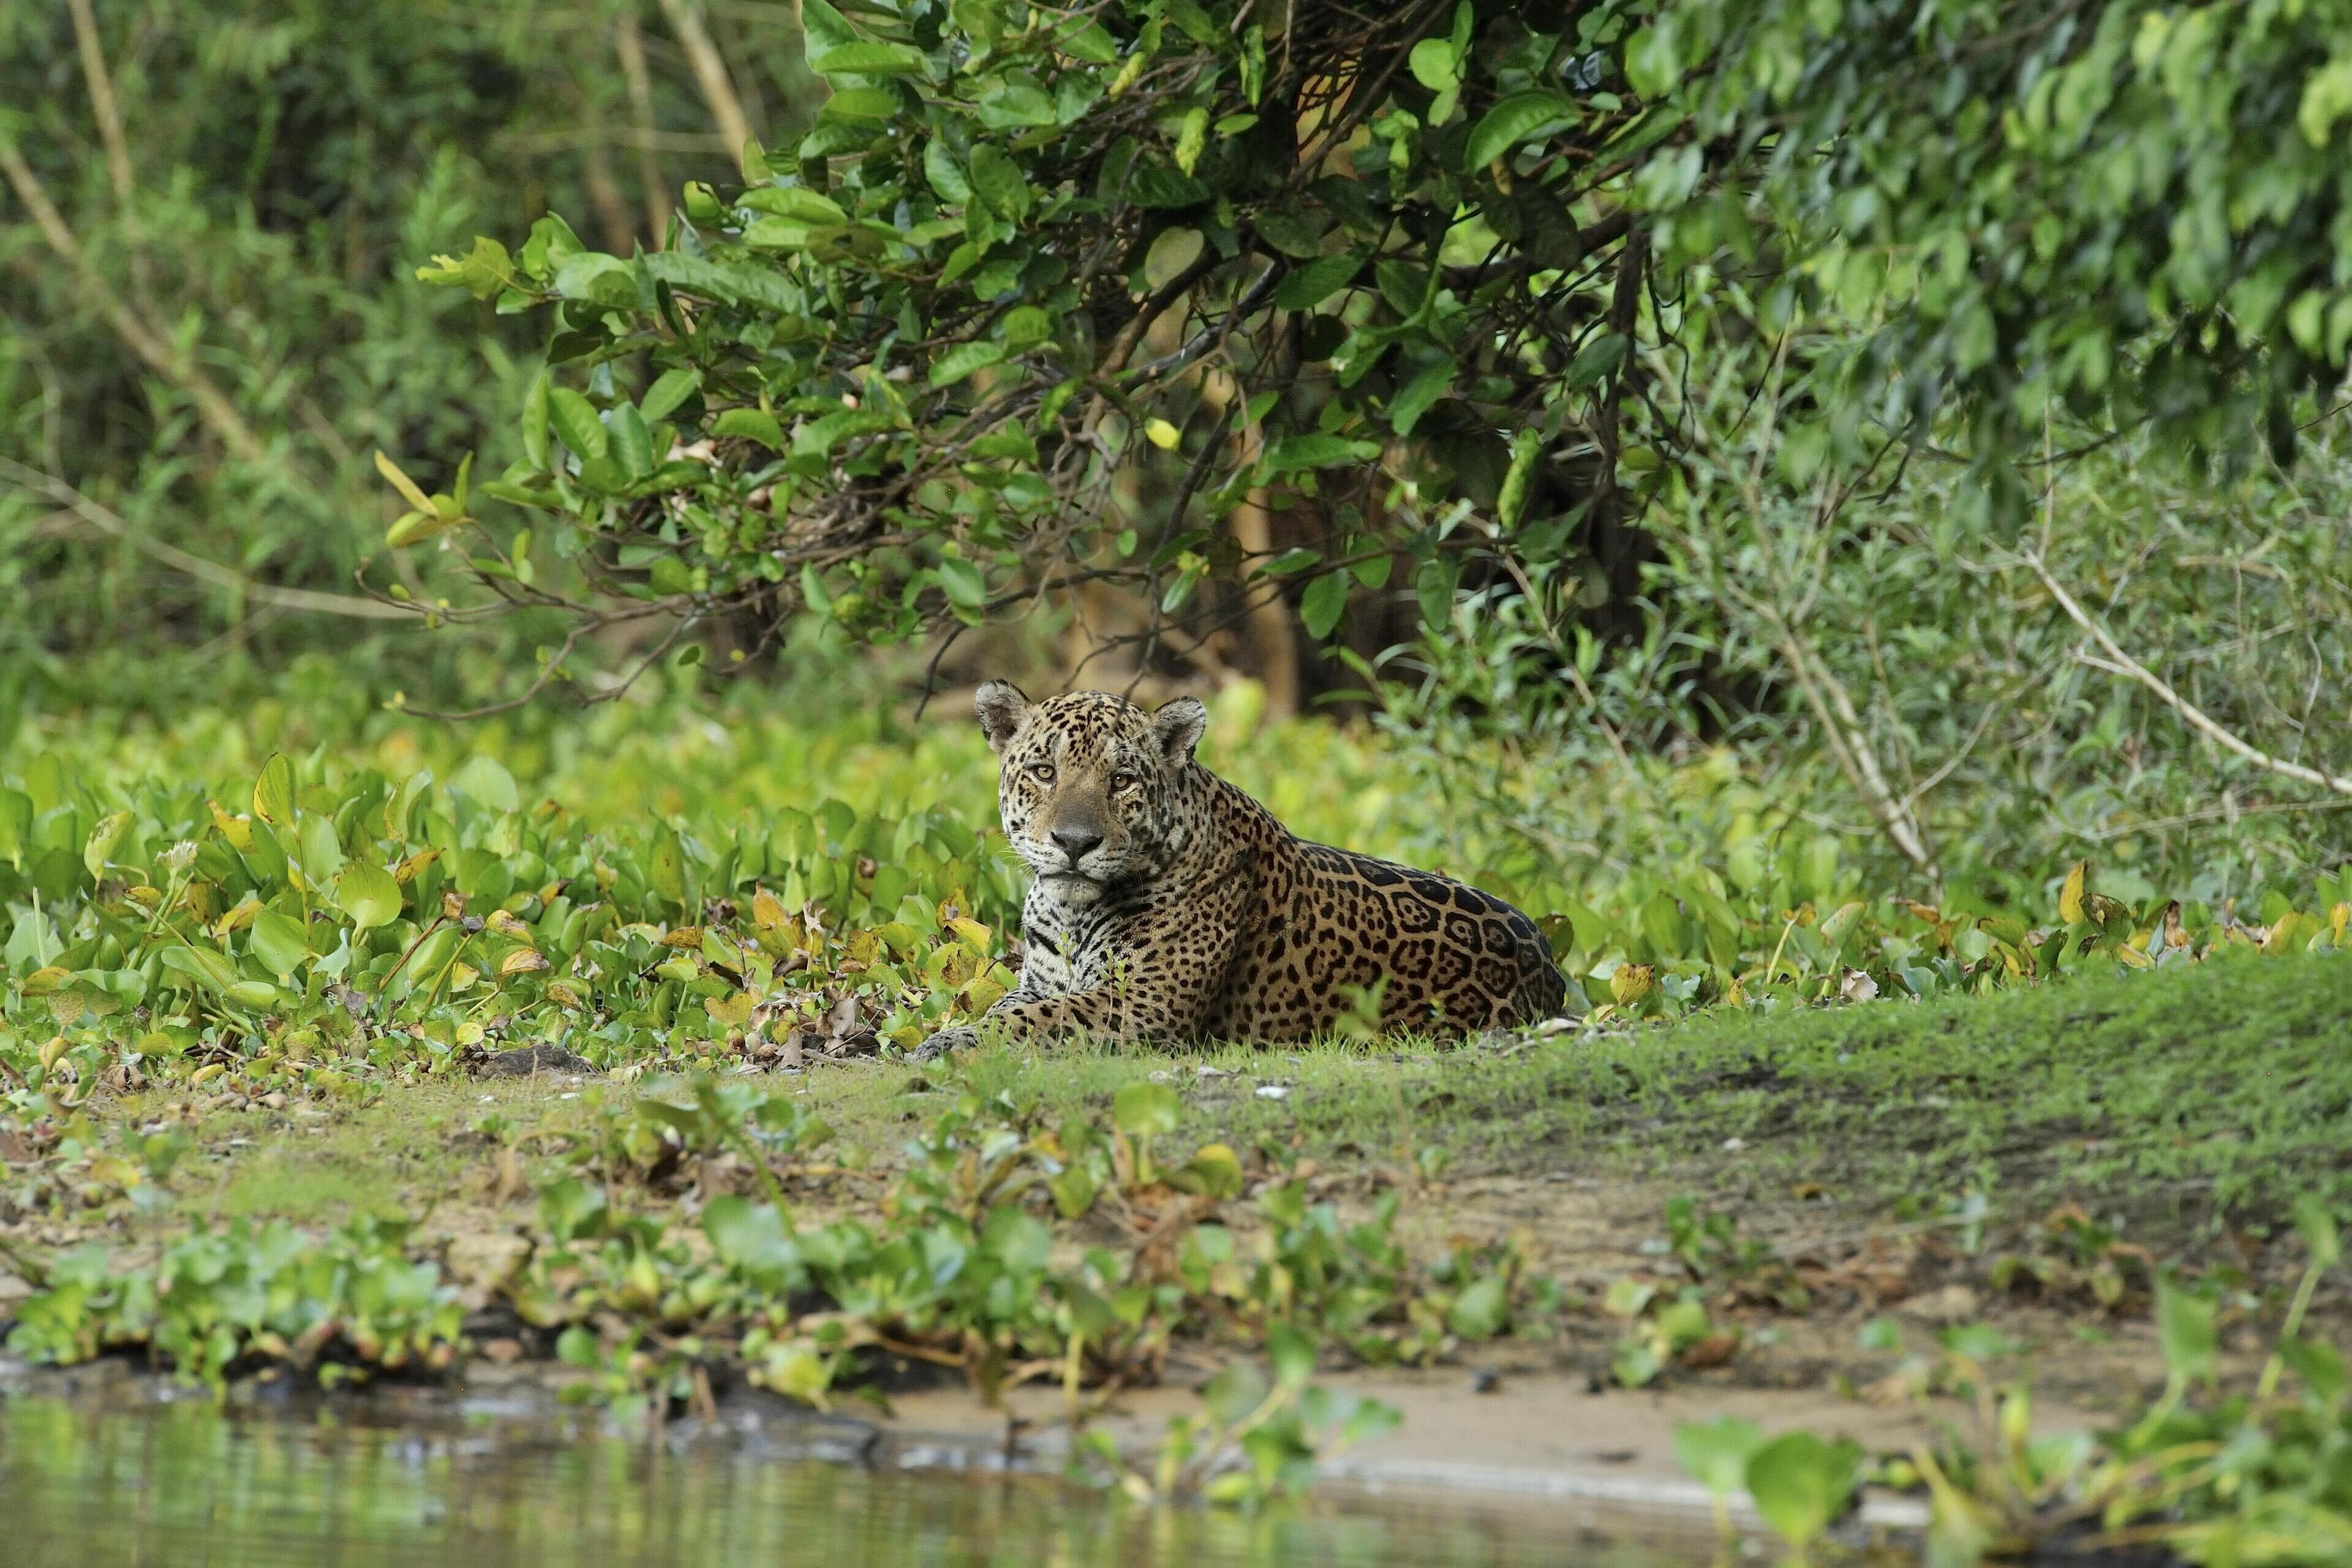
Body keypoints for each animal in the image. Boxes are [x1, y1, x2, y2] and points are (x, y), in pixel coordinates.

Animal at [913, 681, 1568, 1059]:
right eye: (1044, 772)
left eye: (1121, 781)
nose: (1075, 843)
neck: (1070, 912)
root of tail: (1553, 966)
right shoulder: (1038, 982)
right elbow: (1010, 1009)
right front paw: (950, 1034)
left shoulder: (1143, 1003)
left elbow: (1035, 1022)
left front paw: (945, 1044)